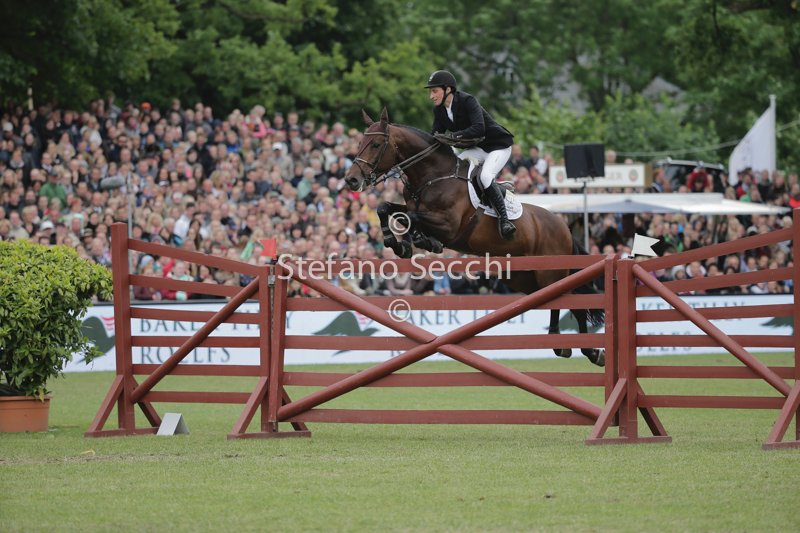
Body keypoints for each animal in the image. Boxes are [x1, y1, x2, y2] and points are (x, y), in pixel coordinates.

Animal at [344, 108, 605, 366]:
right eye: (360, 142)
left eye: (376, 144)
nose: (351, 180)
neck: (432, 176)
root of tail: (564, 227)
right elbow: (387, 208)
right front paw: (399, 242)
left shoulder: (448, 225)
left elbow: (411, 218)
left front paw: (412, 242)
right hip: (524, 278)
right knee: (561, 302)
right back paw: (579, 348)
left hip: (550, 272)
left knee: (572, 303)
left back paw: (580, 348)